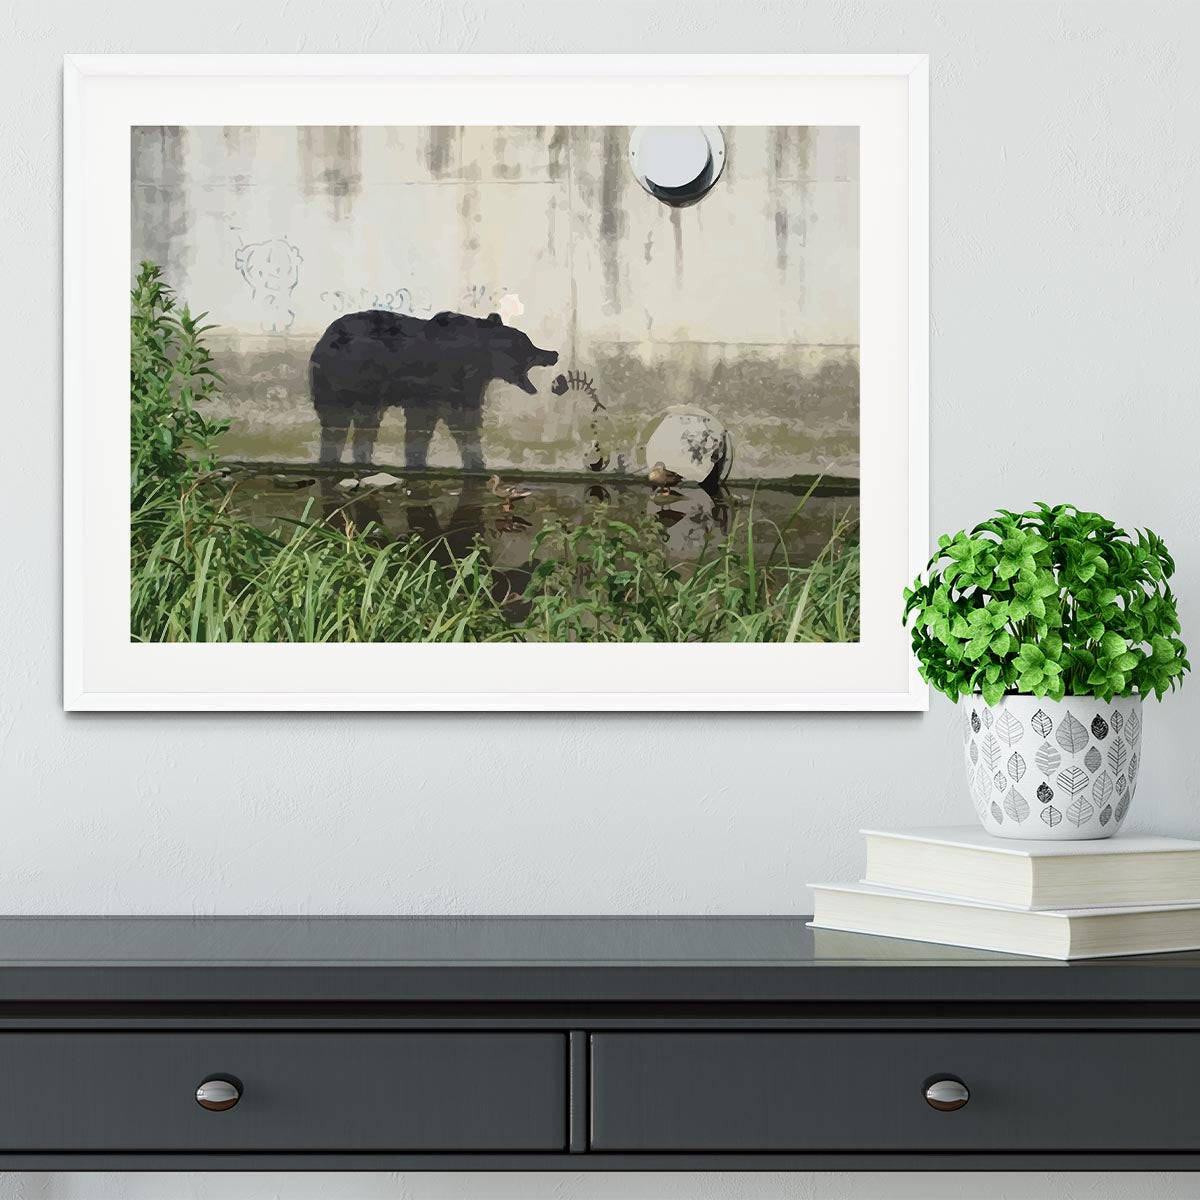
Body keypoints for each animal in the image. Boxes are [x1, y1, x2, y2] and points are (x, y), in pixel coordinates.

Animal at [309, 309, 559, 470]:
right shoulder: (436, 384)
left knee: (365, 425)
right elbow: (440, 423)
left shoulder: (463, 387)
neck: (480, 360)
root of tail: (322, 340)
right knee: (336, 423)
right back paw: (331, 458)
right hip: (343, 380)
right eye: (528, 344)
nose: (553, 353)